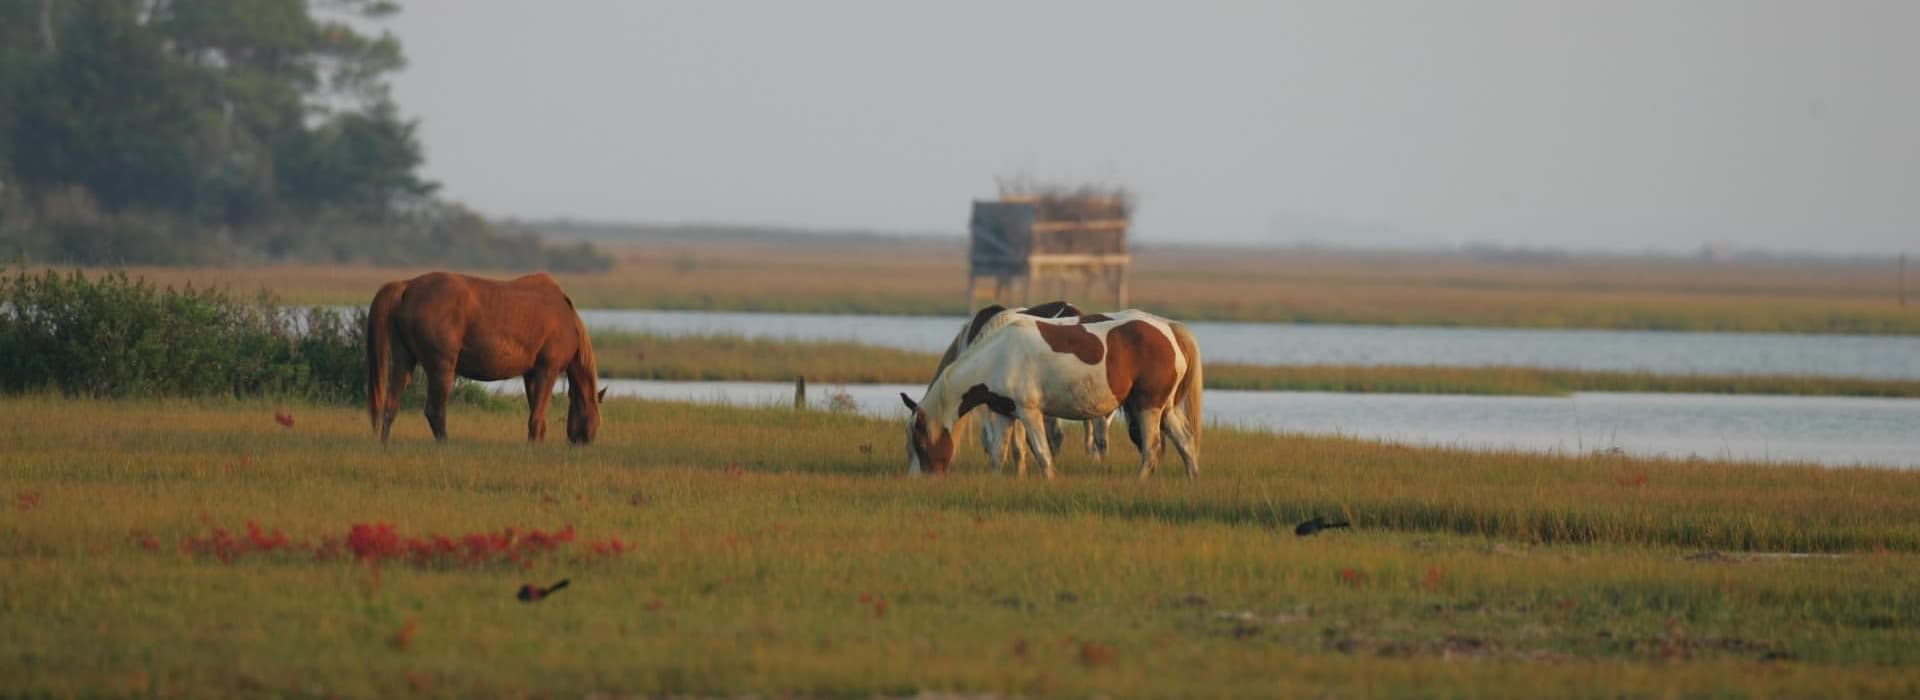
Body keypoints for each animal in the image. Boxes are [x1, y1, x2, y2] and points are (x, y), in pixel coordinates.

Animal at [366, 272, 606, 444]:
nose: (584, 442)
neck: (568, 320)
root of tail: (407, 287)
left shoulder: (531, 374)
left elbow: (535, 413)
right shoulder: (548, 370)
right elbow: (537, 415)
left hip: (404, 362)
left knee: (391, 405)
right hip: (441, 368)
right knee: (435, 411)